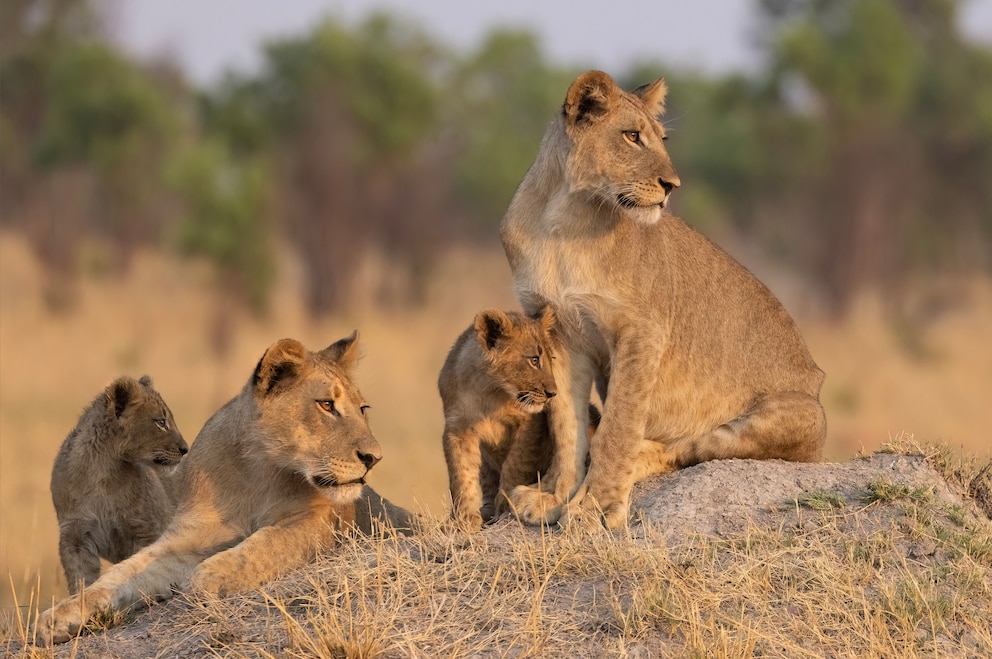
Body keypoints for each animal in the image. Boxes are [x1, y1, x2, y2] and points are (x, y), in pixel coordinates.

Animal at [50, 376, 188, 600]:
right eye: (161, 422)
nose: (185, 449)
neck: (102, 472)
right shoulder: (74, 536)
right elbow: (81, 579)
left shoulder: (144, 529)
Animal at [500, 68, 824, 532]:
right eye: (631, 136)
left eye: (660, 139)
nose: (672, 186)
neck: (563, 219)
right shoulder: (558, 334)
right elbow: (565, 423)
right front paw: (555, 497)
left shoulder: (642, 332)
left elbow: (619, 425)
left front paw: (596, 507)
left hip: (799, 416)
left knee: (685, 448)